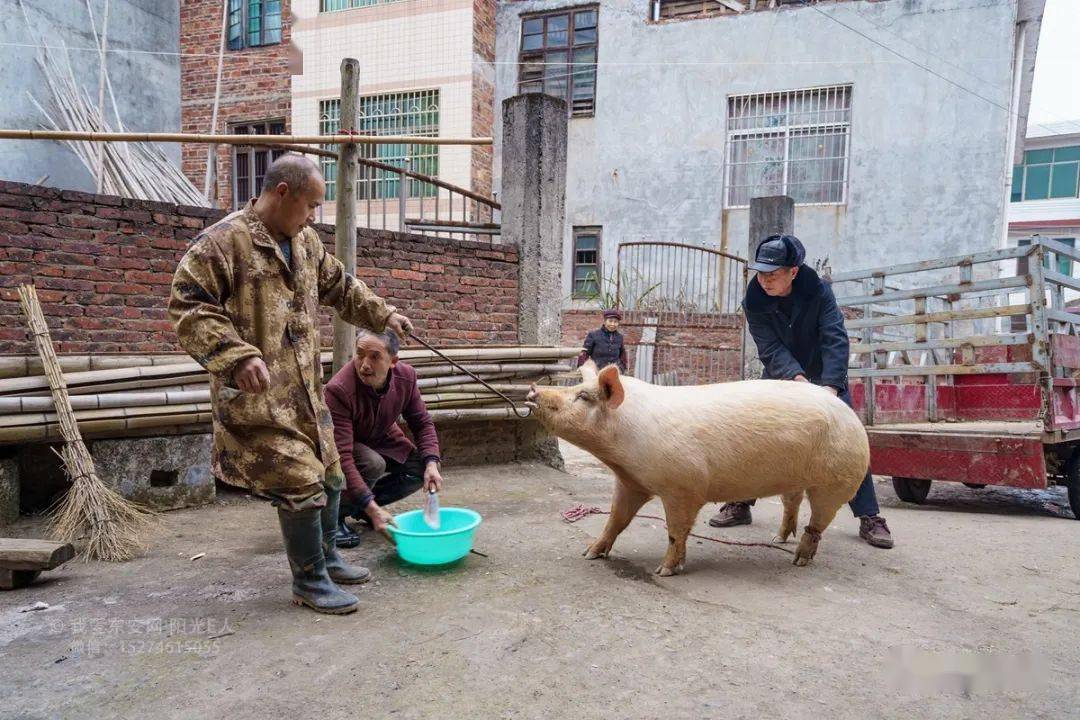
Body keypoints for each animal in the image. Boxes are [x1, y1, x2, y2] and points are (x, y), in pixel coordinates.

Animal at [527, 362, 872, 578]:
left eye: (583, 395)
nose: (532, 390)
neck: (622, 448)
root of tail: (847, 411)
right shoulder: (631, 482)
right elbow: (616, 520)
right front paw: (589, 553)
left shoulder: (683, 488)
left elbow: (676, 531)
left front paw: (665, 571)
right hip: (794, 478)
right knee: (792, 503)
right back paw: (777, 539)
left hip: (838, 480)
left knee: (818, 522)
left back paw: (799, 560)